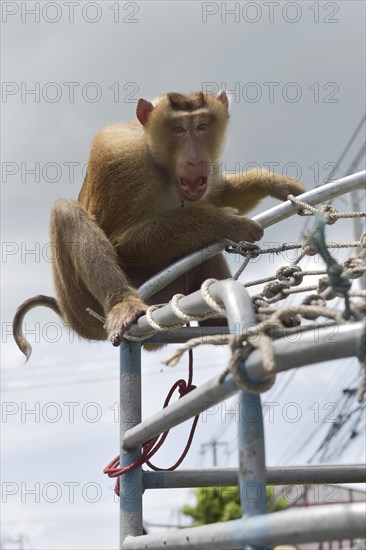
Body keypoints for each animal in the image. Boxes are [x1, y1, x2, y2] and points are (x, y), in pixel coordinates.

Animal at [12, 90, 304, 360]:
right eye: (178, 128)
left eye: (202, 125)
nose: (195, 159)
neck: (161, 163)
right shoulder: (120, 156)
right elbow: (123, 243)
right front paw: (225, 221)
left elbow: (219, 194)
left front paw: (271, 181)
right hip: (84, 307)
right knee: (65, 212)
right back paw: (123, 304)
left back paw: (223, 320)